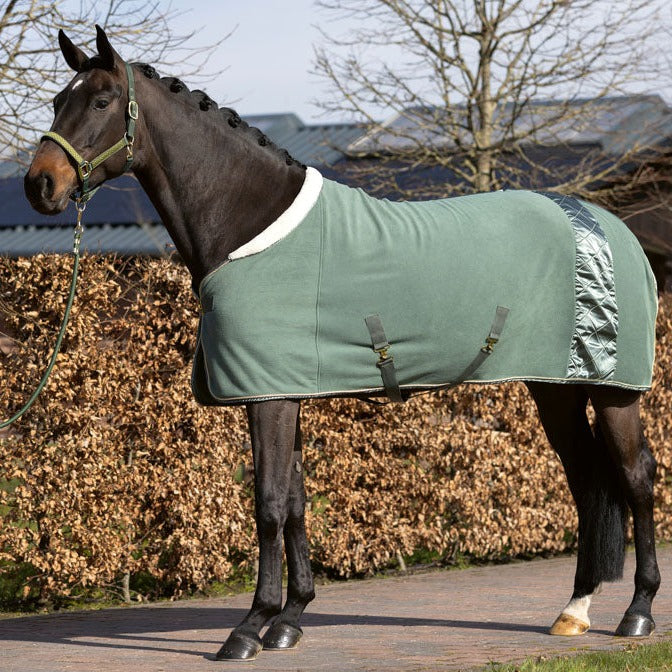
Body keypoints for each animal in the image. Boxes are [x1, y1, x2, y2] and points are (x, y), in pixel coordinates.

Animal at [24, 26, 661, 661]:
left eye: (101, 101)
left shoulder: (270, 398)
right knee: (587, 481)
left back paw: (637, 612)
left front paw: (248, 628)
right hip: (557, 387)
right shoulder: (282, 391)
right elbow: (296, 501)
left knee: (636, 477)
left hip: (614, 391)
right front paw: (289, 620)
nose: (40, 185)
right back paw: (574, 611)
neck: (250, 224)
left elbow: (268, 503)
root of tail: (609, 225)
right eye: (57, 101)